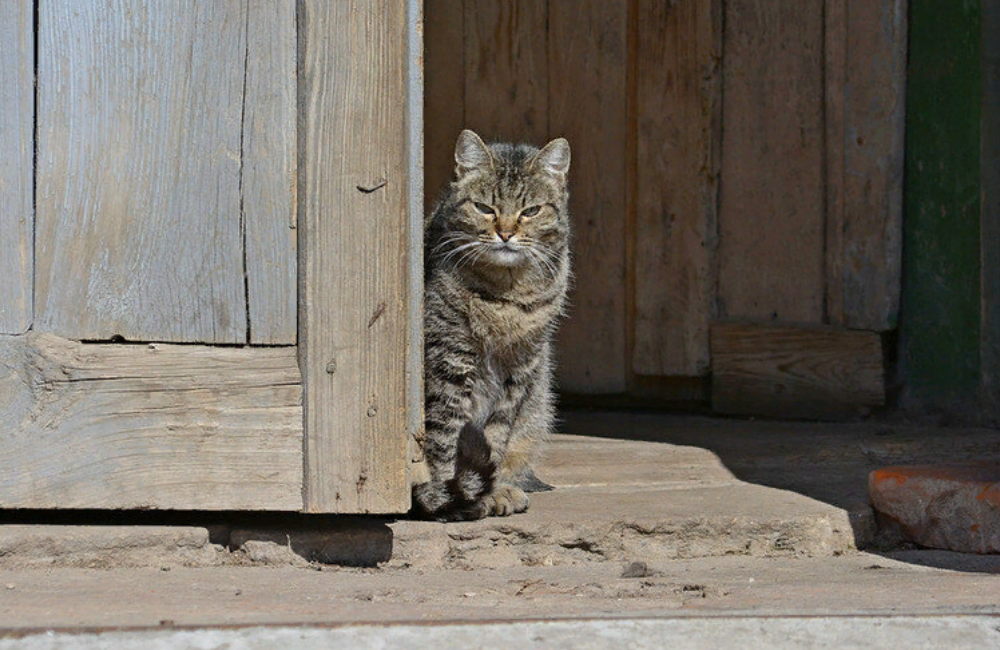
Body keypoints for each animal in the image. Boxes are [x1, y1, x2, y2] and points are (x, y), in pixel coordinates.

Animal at [412, 129, 572, 520]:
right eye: (485, 208)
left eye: (531, 211)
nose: (505, 233)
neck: (504, 297)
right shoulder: (449, 359)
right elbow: (444, 438)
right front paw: (449, 493)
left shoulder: (521, 365)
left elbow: (496, 437)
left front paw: (494, 489)